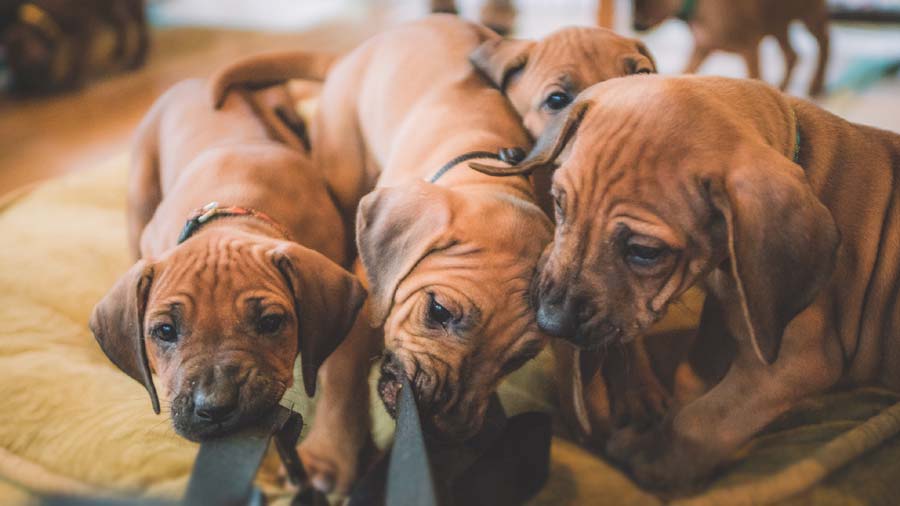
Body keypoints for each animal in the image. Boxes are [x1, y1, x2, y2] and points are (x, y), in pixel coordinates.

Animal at [478, 74, 900, 486]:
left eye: (645, 251)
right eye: (559, 203)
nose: (550, 322)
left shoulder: (796, 361)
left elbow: (706, 417)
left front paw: (656, 457)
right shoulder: (724, 311)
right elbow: (692, 374)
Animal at [632, 0, 828, 96]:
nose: (636, 25)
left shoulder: (750, 48)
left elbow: (754, 77)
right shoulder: (702, 48)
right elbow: (685, 70)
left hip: (809, 15)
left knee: (824, 43)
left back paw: (816, 84)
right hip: (778, 24)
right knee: (792, 55)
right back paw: (781, 88)